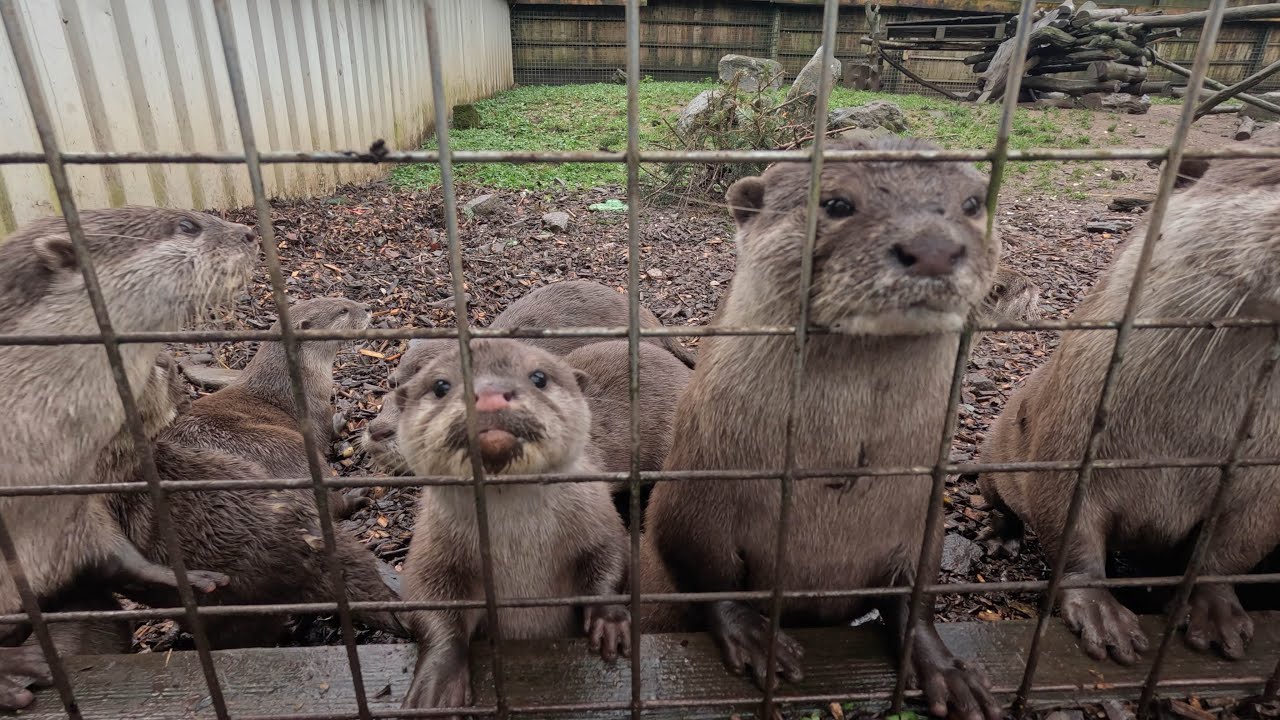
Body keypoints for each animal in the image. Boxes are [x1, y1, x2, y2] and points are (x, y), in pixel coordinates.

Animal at [395, 339, 630, 713]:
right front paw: (438, 682)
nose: (490, 394)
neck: (518, 549)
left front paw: (609, 622)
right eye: (441, 385)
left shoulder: (598, 517)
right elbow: (428, 600)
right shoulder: (431, 551)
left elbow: (611, 556)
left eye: (539, 377)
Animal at [641, 137, 1001, 720]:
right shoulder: (695, 496)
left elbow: (914, 598)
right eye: (835, 204)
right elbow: (704, 574)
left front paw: (947, 670)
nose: (932, 247)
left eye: (972, 203)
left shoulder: (924, 511)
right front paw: (755, 639)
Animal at [976, 127, 1280, 666]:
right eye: (1271, 173)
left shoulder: (1266, 484)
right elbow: (1069, 530)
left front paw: (1215, 612)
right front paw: (1099, 613)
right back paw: (1000, 538)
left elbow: (1233, 549)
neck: (1186, 439)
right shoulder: (1070, 436)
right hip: (993, 458)